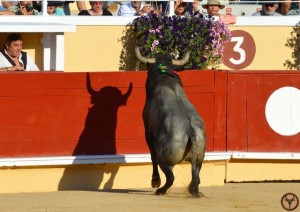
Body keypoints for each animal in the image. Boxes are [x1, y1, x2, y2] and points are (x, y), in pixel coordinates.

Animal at [136, 46, 206, 197]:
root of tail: (190, 131)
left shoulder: (147, 131)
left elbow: (152, 155)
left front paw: (155, 181)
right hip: (199, 158)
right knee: (196, 176)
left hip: (164, 158)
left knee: (170, 176)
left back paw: (160, 189)